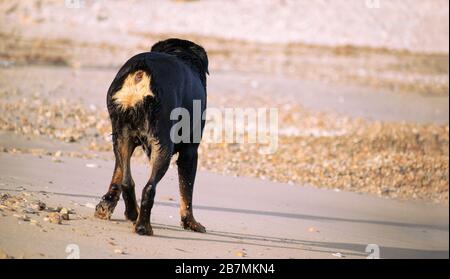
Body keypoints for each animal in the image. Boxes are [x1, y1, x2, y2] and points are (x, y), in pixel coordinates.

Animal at [96, 38, 208, 236]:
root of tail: (142, 71)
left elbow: (117, 173)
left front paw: (106, 205)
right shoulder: (190, 151)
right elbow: (186, 191)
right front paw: (191, 223)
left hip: (121, 136)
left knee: (126, 181)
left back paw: (133, 213)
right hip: (162, 145)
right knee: (149, 188)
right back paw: (143, 226)